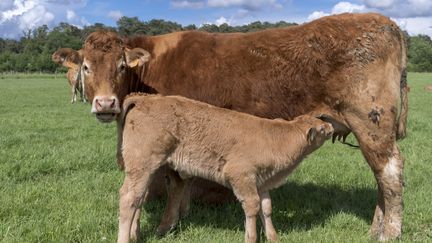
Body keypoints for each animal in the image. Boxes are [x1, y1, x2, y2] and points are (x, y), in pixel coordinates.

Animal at [117, 93, 334, 243]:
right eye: (322, 128)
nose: (331, 127)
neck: (276, 138)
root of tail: (145, 99)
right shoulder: (241, 176)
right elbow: (253, 207)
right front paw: (251, 238)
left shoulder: (262, 182)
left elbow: (266, 208)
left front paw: (274, 237)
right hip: (142, 165)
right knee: (128, 199)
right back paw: (125, 238)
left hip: (146, 170)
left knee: (139, 198)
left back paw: (136, 235)